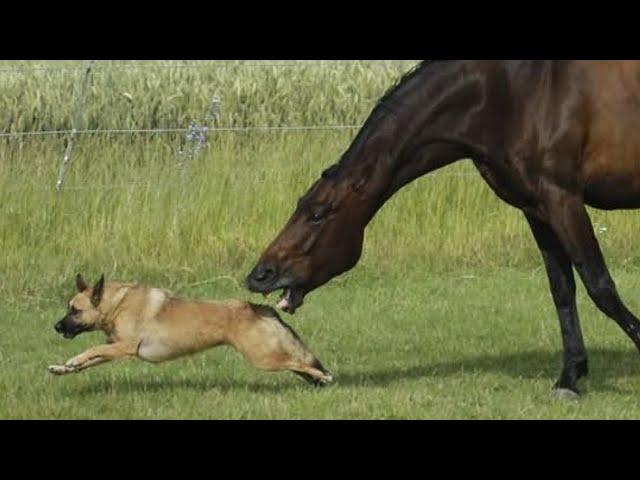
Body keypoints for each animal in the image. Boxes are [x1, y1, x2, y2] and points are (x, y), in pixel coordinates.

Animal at [47, 274, 332, 386]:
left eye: (75, 311)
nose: (56, 326)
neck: (116, 304)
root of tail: (259, 308)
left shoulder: (124, 348)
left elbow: (91, 349)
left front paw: (72, 360)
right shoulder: (113, 348)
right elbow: (89, 360)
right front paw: (62, 368)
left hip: (263, 358)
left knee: (301, 363)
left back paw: (324, 377)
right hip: (270, 355)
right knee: (299, 365)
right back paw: (317, 380)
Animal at [245, 61, 640, 398]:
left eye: (317, 214)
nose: (260, 275)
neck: (516, 93)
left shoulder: (563, 199)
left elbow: (600, 286)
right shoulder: (537, 209)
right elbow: (562, 290)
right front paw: (570, 377)